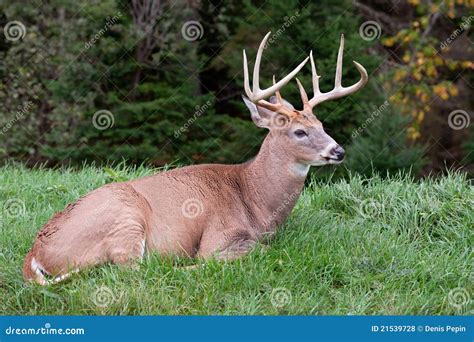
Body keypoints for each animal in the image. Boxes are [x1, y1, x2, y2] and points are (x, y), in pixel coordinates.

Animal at [24, 32, 368, 284]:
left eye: (321, 125)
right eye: (299, 132)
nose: (338, 151)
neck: (255, 201)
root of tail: (34, 256)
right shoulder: (219, 233)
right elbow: (255, 251)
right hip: (125, 220)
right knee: (135, 272)